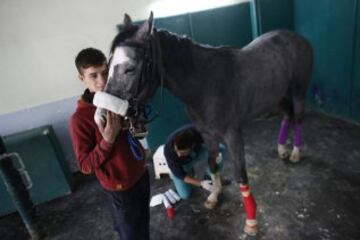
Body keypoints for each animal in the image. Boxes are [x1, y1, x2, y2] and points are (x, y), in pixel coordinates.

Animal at [95, 12, 312, 235]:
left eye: (130, 69)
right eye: (109, 65)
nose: (102, 118)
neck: (205, 83)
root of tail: (296, 37)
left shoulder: (233, 136)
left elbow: (241, 175)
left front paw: (251, 222)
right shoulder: (207, 134)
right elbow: (212, 164)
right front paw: (214, 196)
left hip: (298, 92)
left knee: (298, 118)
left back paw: (295, 153)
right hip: (278, 97)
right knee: (287, 117)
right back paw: (282, 149)